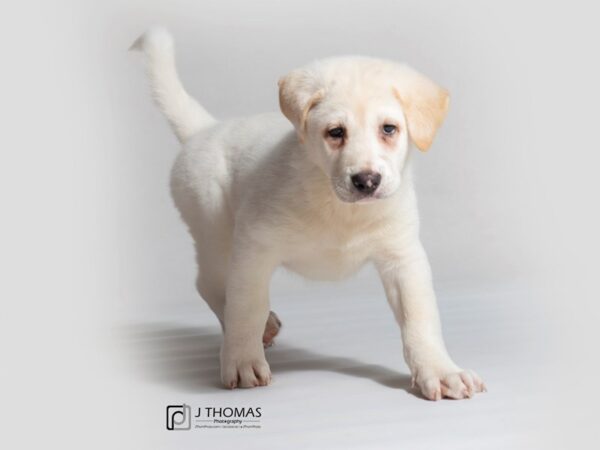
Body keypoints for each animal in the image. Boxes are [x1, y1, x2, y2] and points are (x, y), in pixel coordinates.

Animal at [132, 28, 488, 400]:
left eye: (389, 129)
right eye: (336, 132)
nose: (366, 181)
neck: (340, 208)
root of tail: (204, 130)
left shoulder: (402, 257)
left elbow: (420, 319)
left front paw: (441, 371)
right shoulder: (254, 249)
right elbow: (246, 307)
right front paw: (243, 360)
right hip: (215, 233)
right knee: (211, 284)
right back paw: (257, 330)